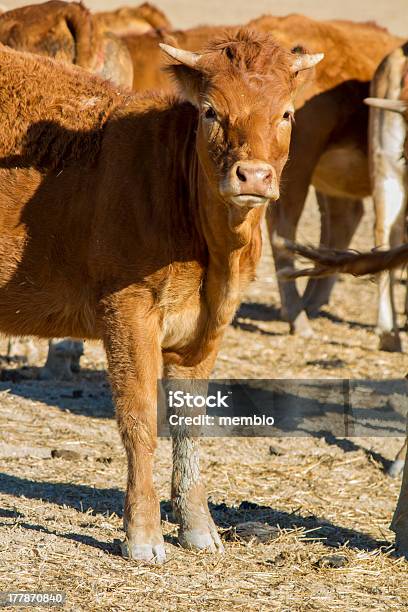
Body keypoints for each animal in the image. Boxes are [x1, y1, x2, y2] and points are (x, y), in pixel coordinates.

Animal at [0, 32, 322, 560]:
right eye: (211, 111)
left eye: (287, 114)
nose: (253, 176)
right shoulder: (127, 310)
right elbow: (140, 421)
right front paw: (144, 534)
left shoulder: (208, 327)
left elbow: (189, 425)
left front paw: (198, 526)